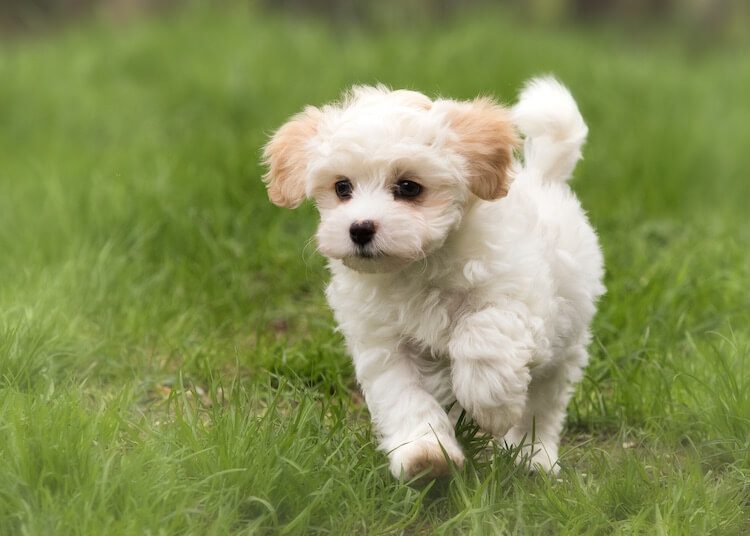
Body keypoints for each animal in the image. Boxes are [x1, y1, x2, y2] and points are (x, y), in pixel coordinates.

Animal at [262, 78, 604, 478]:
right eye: (342, 187)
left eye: (409, 187)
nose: (359, 229)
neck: (417, 266)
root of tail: (543, 177)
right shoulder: (385, 344)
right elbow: (404, 397)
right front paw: (425, 455)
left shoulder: (518, 301)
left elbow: (482, 336)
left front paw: (491, 405)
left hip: (566, 339)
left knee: (544, 403)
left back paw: (532, 456)